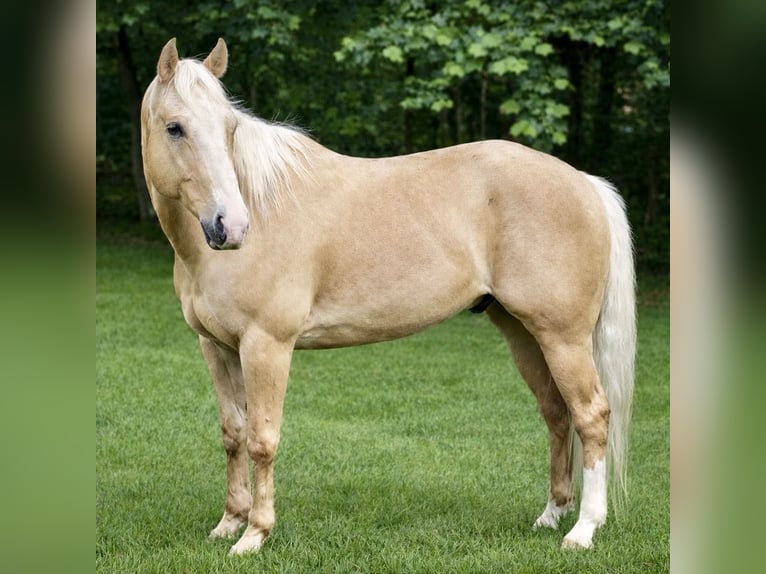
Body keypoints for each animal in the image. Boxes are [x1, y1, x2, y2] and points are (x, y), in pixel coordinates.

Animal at [140, 38, 636, 555]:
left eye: (230, 128)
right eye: (175, 128)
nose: (231, 227)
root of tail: (585, 182)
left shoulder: (266, 346)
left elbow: (262, 438)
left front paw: (254, 535)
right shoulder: (217, 348)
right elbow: (233, 434)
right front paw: (229, 523)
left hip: (564, 337)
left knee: (591, 415)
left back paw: (584, 529)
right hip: (525, 333)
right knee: (557, 414)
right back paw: (551, 515)